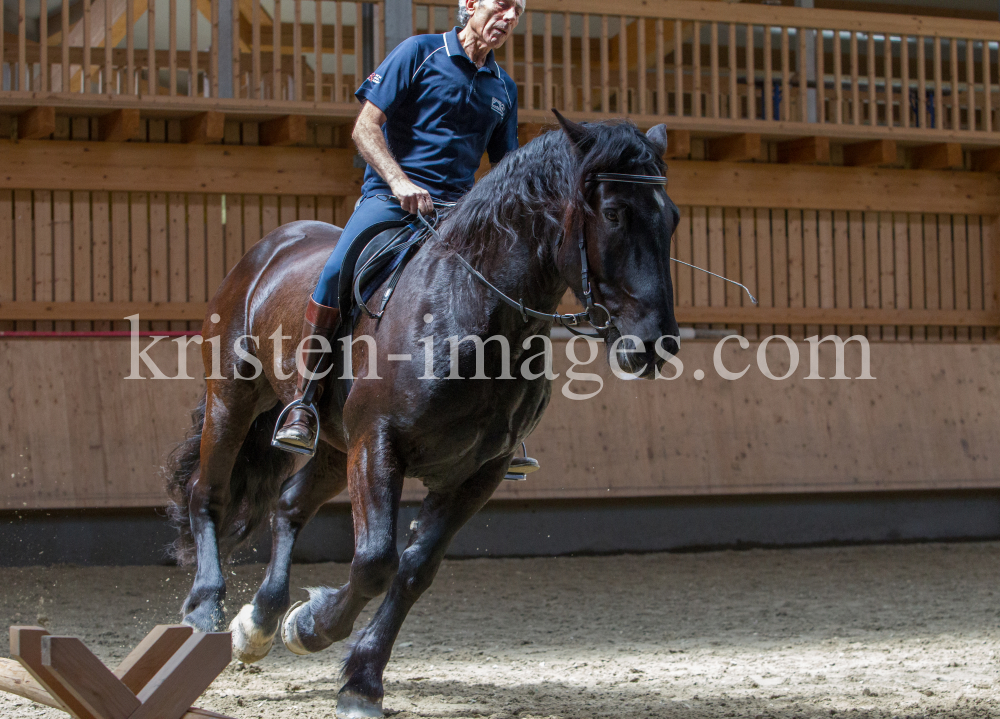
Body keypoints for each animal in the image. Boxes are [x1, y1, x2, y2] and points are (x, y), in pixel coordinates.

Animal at [168, 112, 684, 716]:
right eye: (615, 213)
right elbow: (374, 561)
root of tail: (272, 245)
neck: (470, 310)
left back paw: (262, 621)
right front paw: (323, 632)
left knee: (290, 505)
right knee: (208, 491)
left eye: (671, 219)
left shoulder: (478, 471)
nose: (654, 345)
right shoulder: (378, 444)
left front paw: (346, 662)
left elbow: (414, 570)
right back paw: (205, 609)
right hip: (234, 399)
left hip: (333, 445)